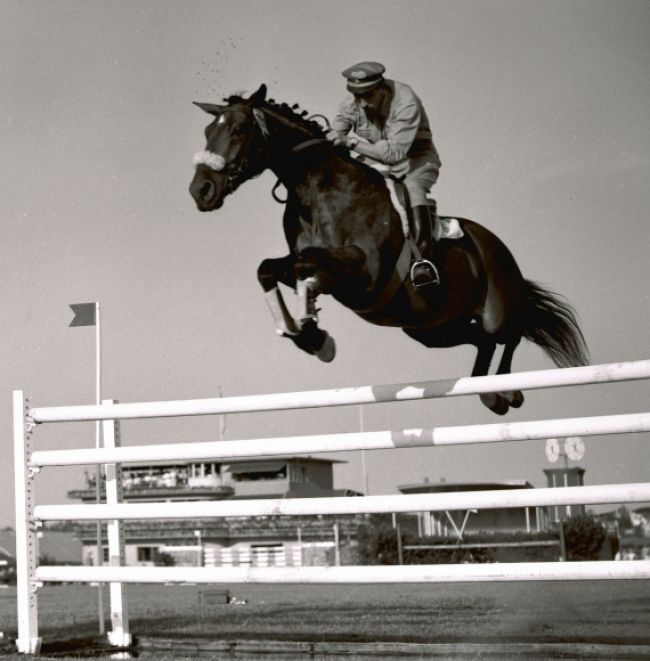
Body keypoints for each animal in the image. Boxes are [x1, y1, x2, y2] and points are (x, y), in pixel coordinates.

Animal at [187, 82, 588, 412]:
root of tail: (499, 248)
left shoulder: (366, 274)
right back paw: (484, 389)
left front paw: (315, 334)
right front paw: (306, 333)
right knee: (480, 340)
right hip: (431, 329)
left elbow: (307, 264)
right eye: (207, 131)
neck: (317, 186)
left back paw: (505, 391)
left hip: (497, 309)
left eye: (238, 129)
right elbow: (270, 268)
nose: (200, 190)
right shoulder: (306, 267)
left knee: (508, 335)